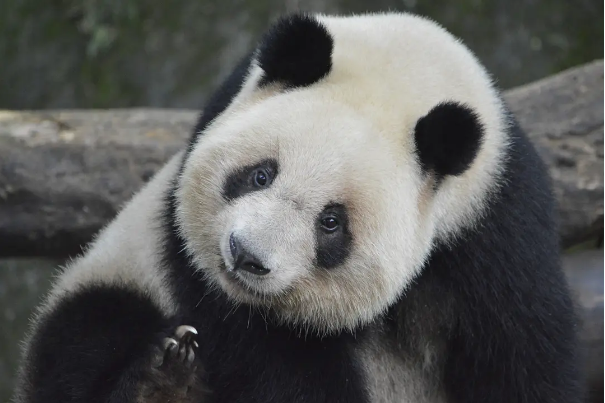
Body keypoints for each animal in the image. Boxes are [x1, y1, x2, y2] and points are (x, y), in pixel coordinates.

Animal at [14, 11, 580, 402]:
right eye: (261, 174)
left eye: (331, 222)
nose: (246, 257)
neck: (405, 75)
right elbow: (270, 357)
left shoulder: (495, 222)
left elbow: (518, 354)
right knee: (86, 336)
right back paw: (163, 384)